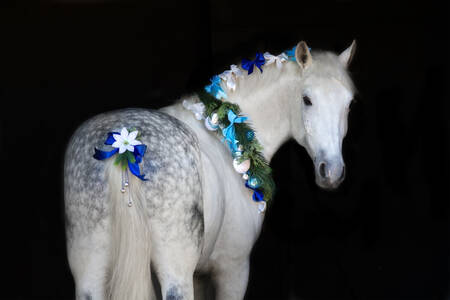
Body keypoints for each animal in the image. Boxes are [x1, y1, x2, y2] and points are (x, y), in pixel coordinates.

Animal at [64, 40, 356, 300]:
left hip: (89, 271)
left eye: (349, 104)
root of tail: (125, 147)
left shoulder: (199, 276)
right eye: (307, 99)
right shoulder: (233, 270)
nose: (331, 171)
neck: (225, 132)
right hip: (176, 274)